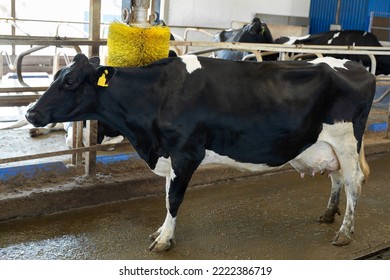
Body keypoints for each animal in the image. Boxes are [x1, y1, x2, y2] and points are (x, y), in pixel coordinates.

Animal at [25, 52, 376, 252]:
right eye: (56, 77)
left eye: (70, 81)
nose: (30, 112)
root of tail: (357, 65)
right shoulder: (168, 155)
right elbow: (167, 195)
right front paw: (161, 231)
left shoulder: (186, 153)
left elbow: (174, 198)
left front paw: (165, 240)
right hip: (329, 145)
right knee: (337, 177)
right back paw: (329, 214)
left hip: (346, 140)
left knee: (354, 182)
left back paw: (345, 232)